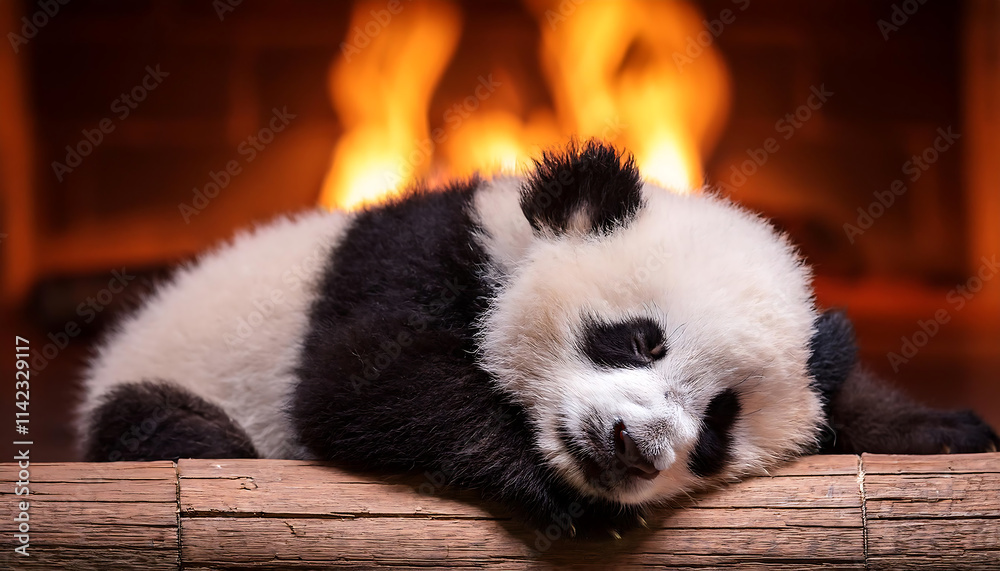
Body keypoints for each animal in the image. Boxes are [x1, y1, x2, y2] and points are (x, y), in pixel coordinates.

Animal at [79, 140, 998, 536]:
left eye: (719, 425)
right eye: (637, 340)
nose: (634, 447)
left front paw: (942, 429)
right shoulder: (410, 255)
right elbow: (361, 381)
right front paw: (564, 497)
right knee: (157, 422)